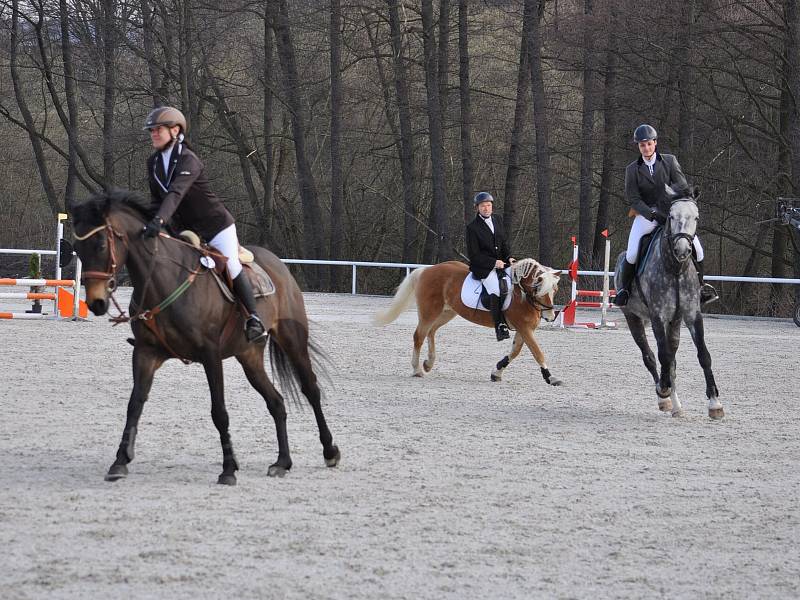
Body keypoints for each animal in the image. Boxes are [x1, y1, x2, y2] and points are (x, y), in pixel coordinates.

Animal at [69, 190, 340, 486]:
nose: (96, 303)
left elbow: (219, 412)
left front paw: (229, 469)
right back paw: (282, 462)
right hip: (249, 356)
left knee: (310, 389)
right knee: (276, 402)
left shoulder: (211, 356)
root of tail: (277, 263)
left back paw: (329, 451)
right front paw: (120, 461)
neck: (165, 280)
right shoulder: (146, 353)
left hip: (292, 339)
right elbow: (134, 404)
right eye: (77, 249)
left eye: (100, 246)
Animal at [376, 258, 564, 384]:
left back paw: (428, 363)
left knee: (431, 331)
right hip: (429, 312)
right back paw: (417, 370)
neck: (522, 295)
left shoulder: (523, 329)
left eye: (555, 290)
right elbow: (537, 352)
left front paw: (496, 372)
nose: (550, 316)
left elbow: (515, 352)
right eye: (539, 289)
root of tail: (426, 270)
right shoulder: (525, 328)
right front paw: (551, 377)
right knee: (419, 335)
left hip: (447, 313)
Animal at [616, 183, 720, 418]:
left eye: (696, 217)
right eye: (671, 216)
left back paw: (676, 405)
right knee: (650, 357)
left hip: (675, 321)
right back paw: (664, 398)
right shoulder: (658, 316)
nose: (682, 250)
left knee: (672, 360)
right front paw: (663, 390)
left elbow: (703, 355)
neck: (675, 269)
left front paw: (715, 403)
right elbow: (662, 356)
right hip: (633, 317)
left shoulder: (691, 314)